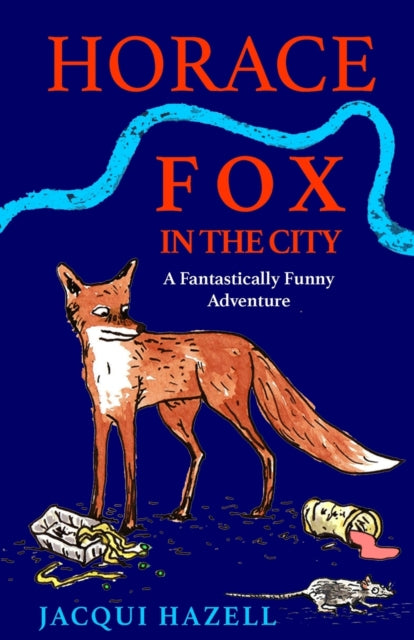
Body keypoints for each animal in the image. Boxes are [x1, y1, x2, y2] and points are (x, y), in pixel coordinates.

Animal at [57, 259, 400, 534]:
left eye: (126, 310)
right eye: (103, 313)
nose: (140, 326)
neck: (108, 367)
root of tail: (247, 342)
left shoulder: (128, 417)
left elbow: (130, 472)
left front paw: (126, 526)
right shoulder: (101, 417)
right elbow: (100, 472)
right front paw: (92, 519)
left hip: (226, 408)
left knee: (266, 453)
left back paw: (260, 510)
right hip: (176, 417)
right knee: (199, 454)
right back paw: (183, 511)